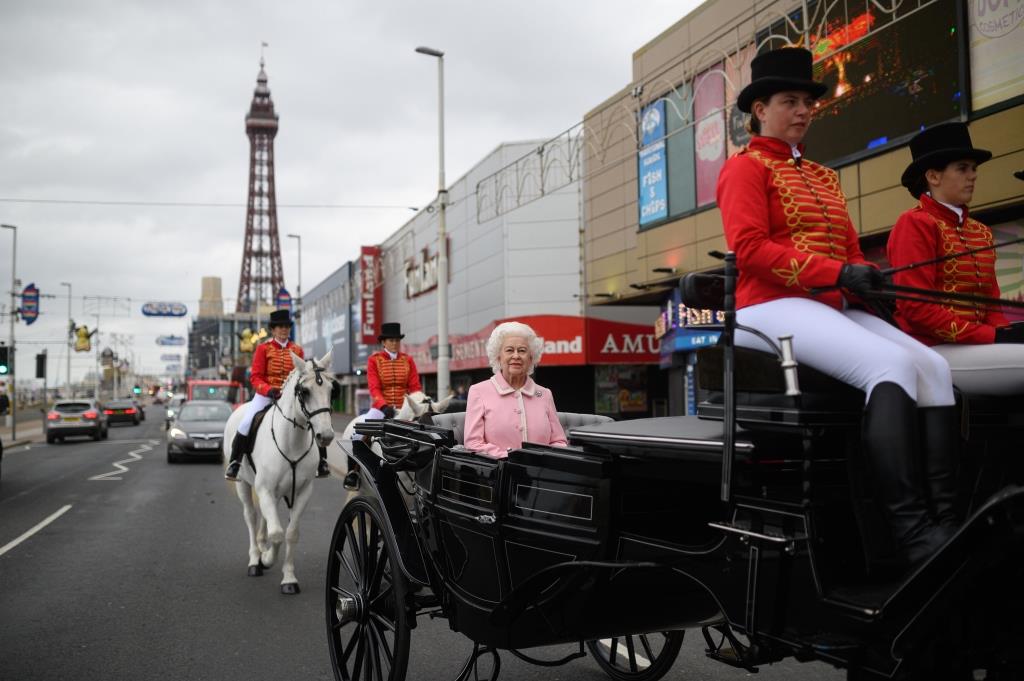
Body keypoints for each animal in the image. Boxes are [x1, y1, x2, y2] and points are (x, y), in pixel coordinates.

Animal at [224, 352, 335, 593]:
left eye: (331, 390)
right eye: (305, 391)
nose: (326, 436)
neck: (291, 441)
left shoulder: (302, 492)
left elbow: (291, 533)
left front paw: (289, 579)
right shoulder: (264, 489)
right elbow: (276, 533)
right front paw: (266, 559)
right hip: (243, 484)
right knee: (251, 516)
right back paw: (255, 560)